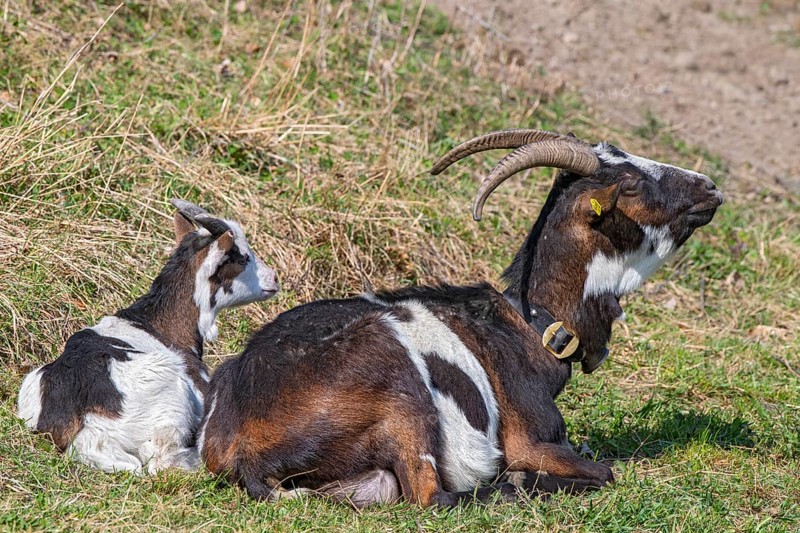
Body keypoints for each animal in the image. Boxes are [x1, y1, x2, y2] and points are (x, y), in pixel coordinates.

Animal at [199, 129, 723, 507]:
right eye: (630, 185)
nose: (710, 187)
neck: (530, 329)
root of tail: (243, 447)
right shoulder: (531, 440)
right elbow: (602, 470)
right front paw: (524, 477)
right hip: (402, 395)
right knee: (433, 497)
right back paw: (509, 486)